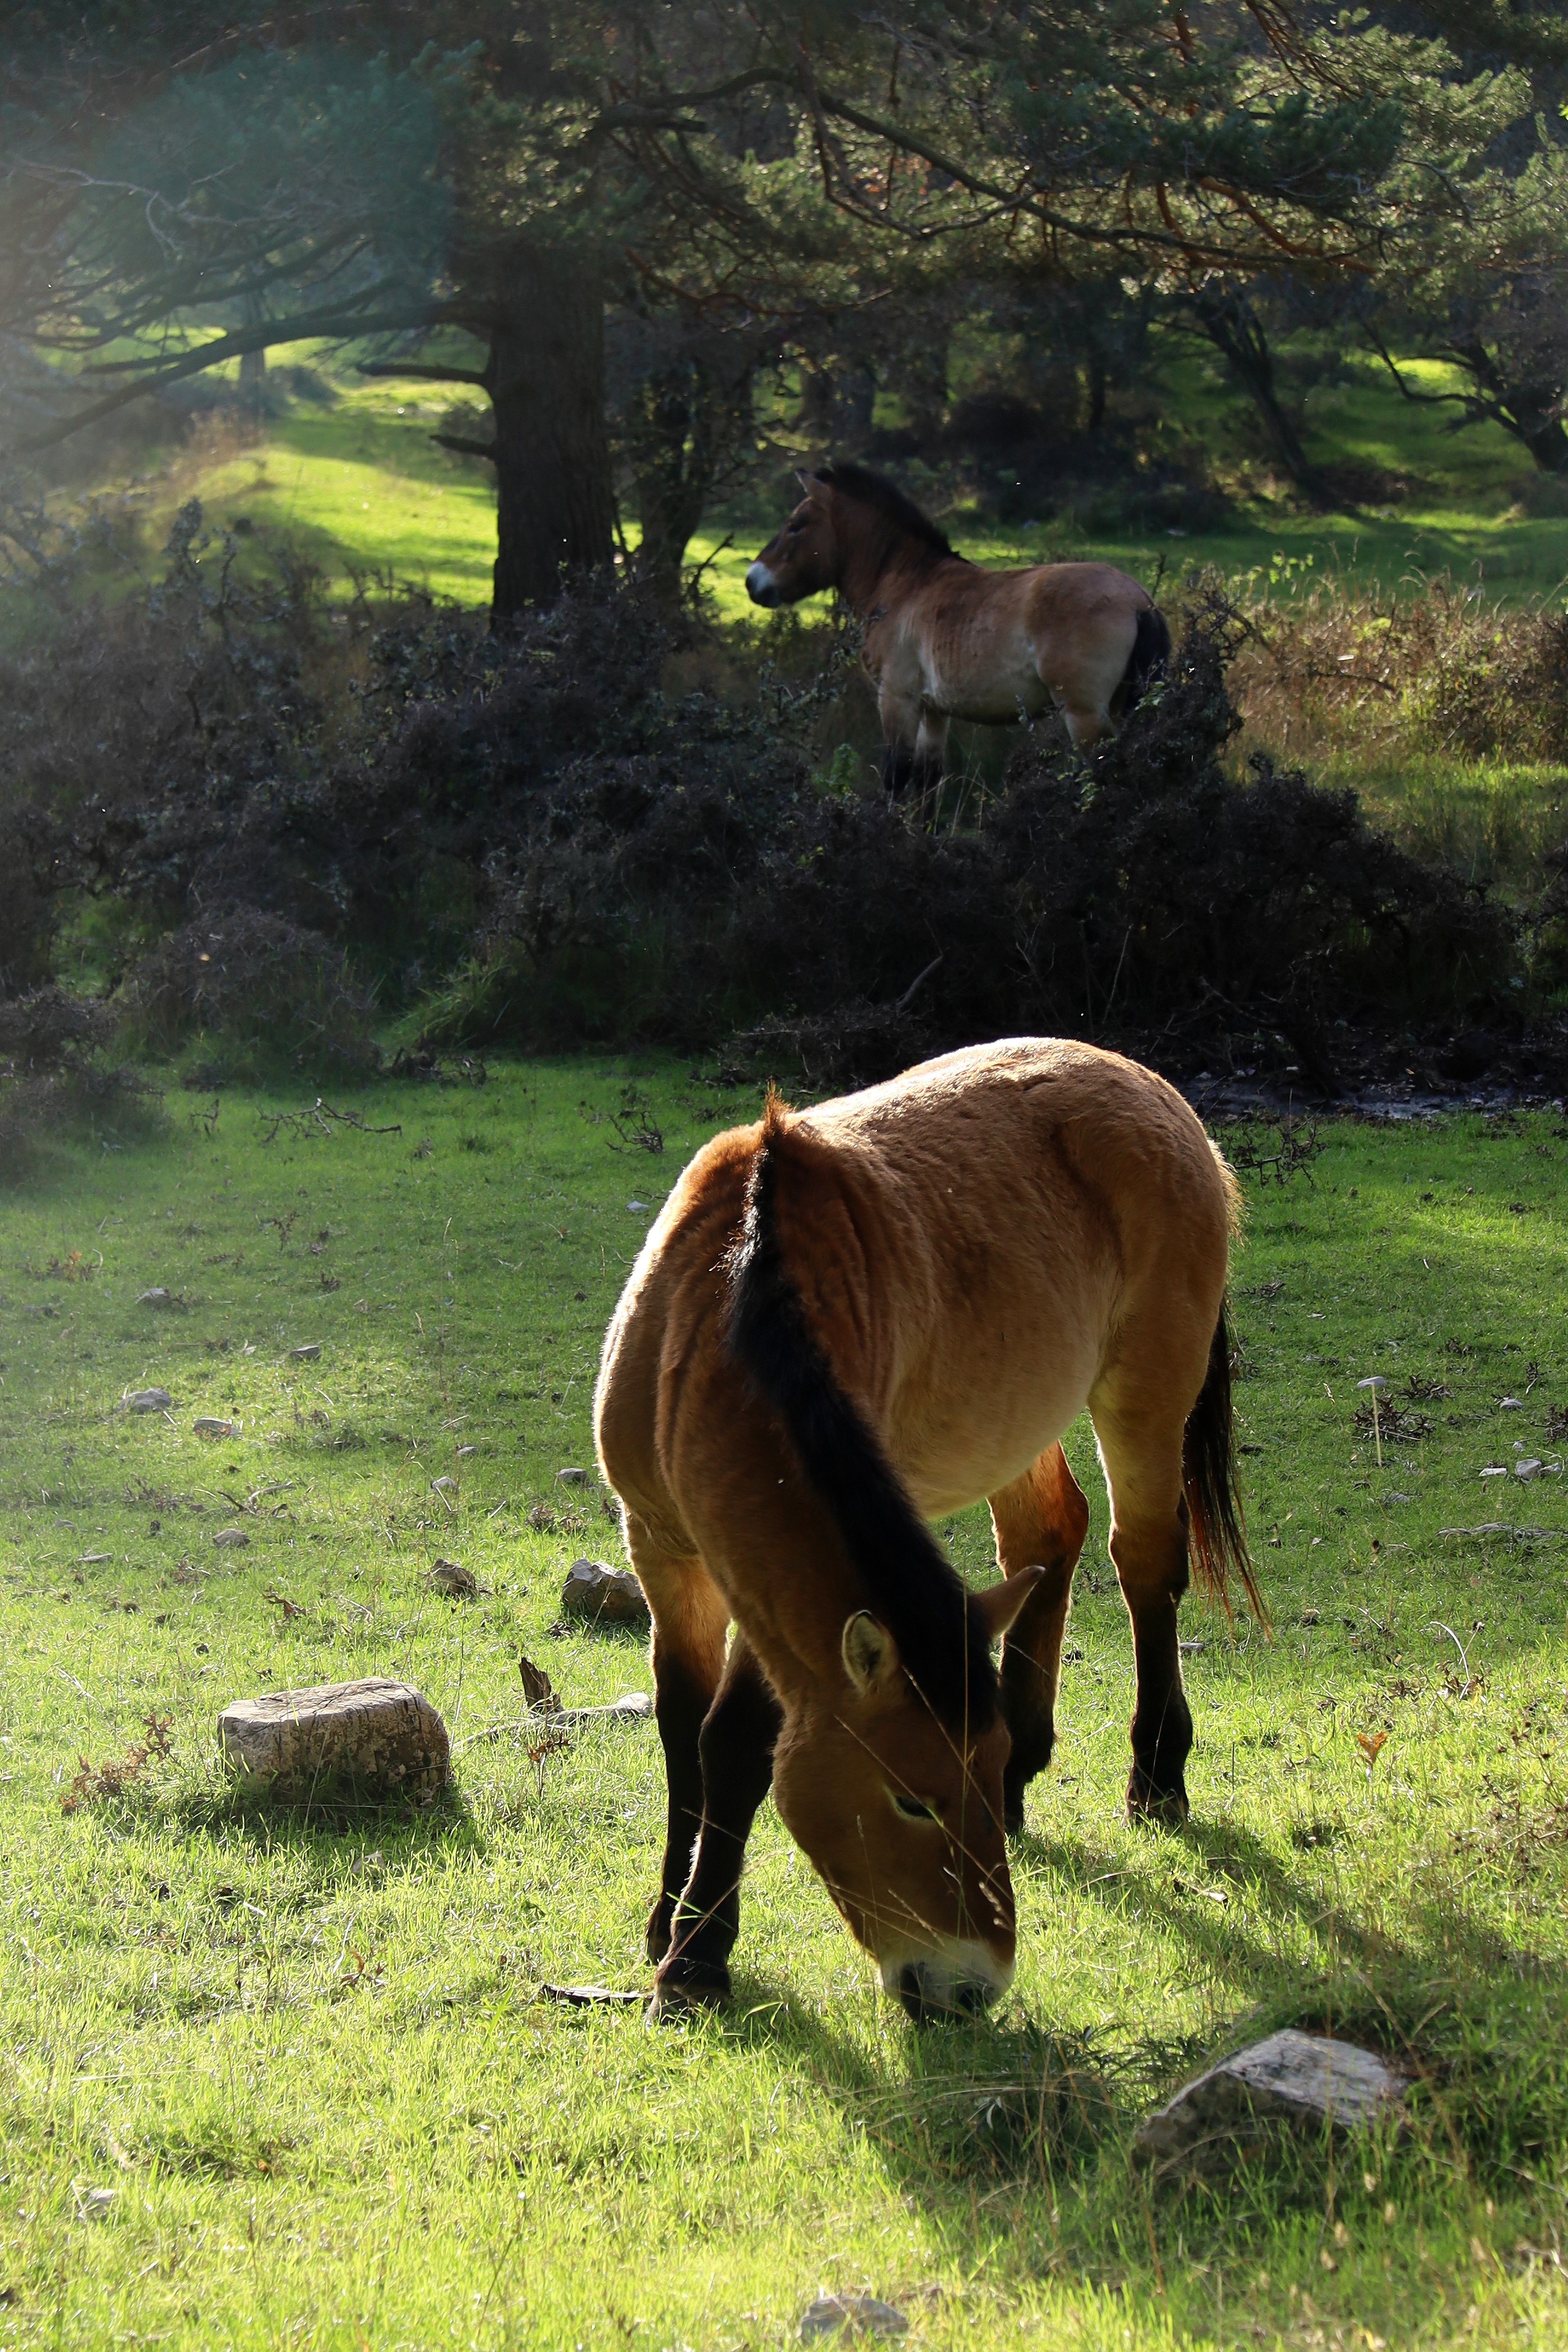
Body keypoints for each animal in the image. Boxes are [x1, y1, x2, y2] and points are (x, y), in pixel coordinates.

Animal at [592, 1039, 1259, 2032]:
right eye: (913, 1799)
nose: (972, 1985)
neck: (727, 1297)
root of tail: (1161, 1097)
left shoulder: (765, 1594)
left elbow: (735, 1740)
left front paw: (698, 1957)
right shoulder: (662, 1550)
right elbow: (683, 1734)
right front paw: (668, 1921)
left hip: (1146, 1398)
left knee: (1144, 1567)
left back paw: (1158, 1774)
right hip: (1019, 1422)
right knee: (1049, 1535)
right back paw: (1039, 1771)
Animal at [752, 463, 1175, 795]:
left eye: (796, 526)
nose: (752, 581)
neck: (906, 583)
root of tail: (1139, 601)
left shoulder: (897, 700)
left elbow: (896, 780)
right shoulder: (934, 712)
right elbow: (926, 786)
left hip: (1085, 717)